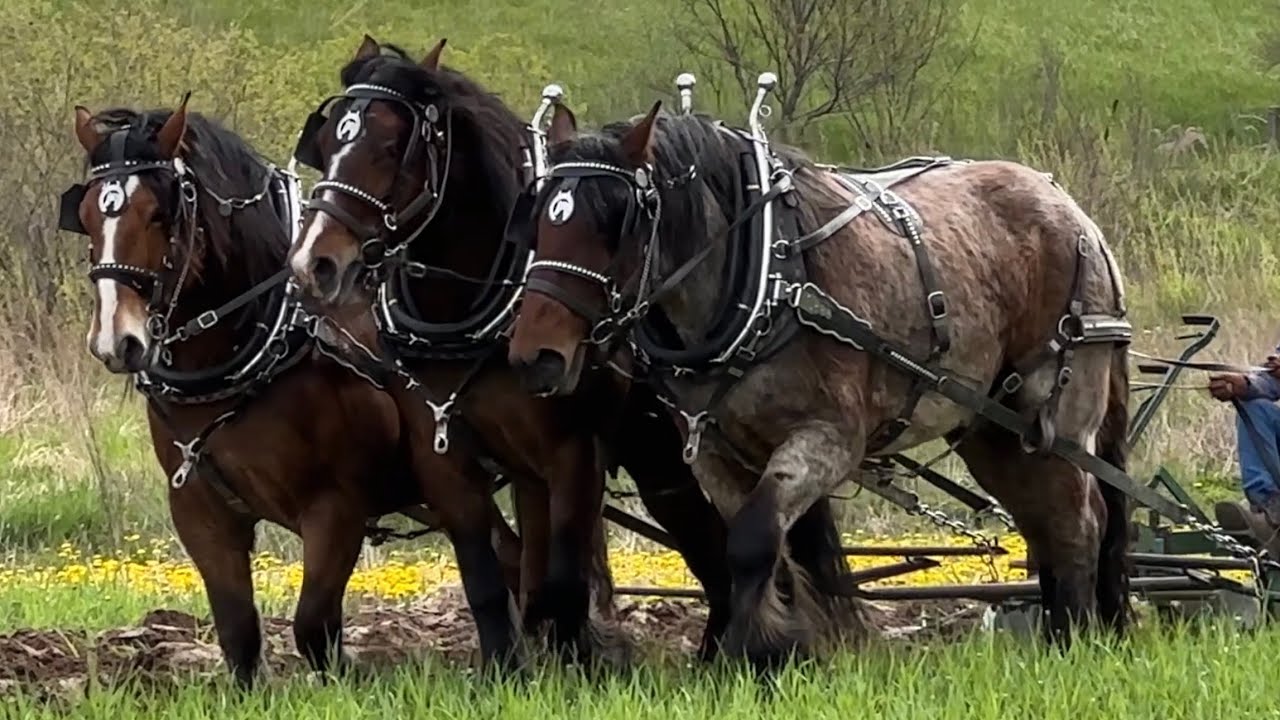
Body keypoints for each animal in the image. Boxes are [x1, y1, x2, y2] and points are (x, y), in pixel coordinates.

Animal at [59, 98, 526, 685]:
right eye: (86, 217)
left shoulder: (336, 508)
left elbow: (314, 627)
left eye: (159, 214)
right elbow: (238, 634)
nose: (115, 340)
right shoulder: (199, 511)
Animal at [284, 37, 734, 667]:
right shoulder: (443, 455)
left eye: (393, 146)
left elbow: (566, 579)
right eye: (325, 145)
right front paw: (505, 665)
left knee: (712, 544)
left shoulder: (575, 451)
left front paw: (579, 664)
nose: (312, 265)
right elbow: (485, 577)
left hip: (661, 452)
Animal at [505, 96, 1134, 668]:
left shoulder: (828, 439)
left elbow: (753, 542)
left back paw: (1075, 638)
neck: (769, 275)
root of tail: (1076, 215)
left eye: (617, 219)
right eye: (538, 219)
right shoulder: (714, 452)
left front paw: (745, 655)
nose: (536, 356)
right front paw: (778, 651)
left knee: (1080, 519)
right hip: (993, 431)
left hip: (1057, 411)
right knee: (1042, 519)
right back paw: (1061, 632)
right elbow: (765, 553)